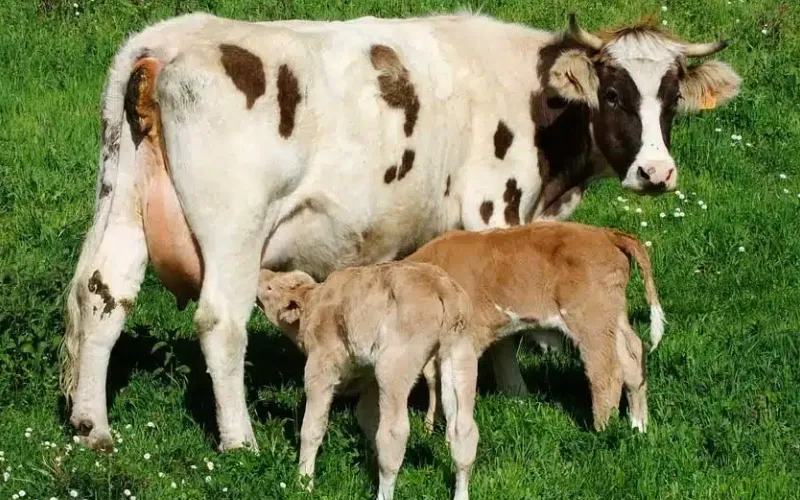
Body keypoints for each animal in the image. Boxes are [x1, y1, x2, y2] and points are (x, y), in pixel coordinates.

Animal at [59, 10, 740, 450]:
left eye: (671, 98)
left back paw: (94, 427)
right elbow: (505, 320)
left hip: (121, 196)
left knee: (100, 296)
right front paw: (515, 392)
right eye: (615, 93)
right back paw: (239, 440)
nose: (656, 172)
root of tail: (166, 42)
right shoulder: (494, 207)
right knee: (220, 322)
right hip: (235, 225)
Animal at [256, 264, 478, 498]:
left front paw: (303, 484)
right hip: (460, 352)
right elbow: (367, 418)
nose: (259, 273)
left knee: (394, 434)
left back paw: (383, 493)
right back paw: (461, 494)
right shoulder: (368, 377)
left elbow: (311, 428)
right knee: (463, 430)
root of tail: (440, 285)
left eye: (270, 287)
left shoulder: (320, 369)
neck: (312, 304)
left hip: (394, 365)